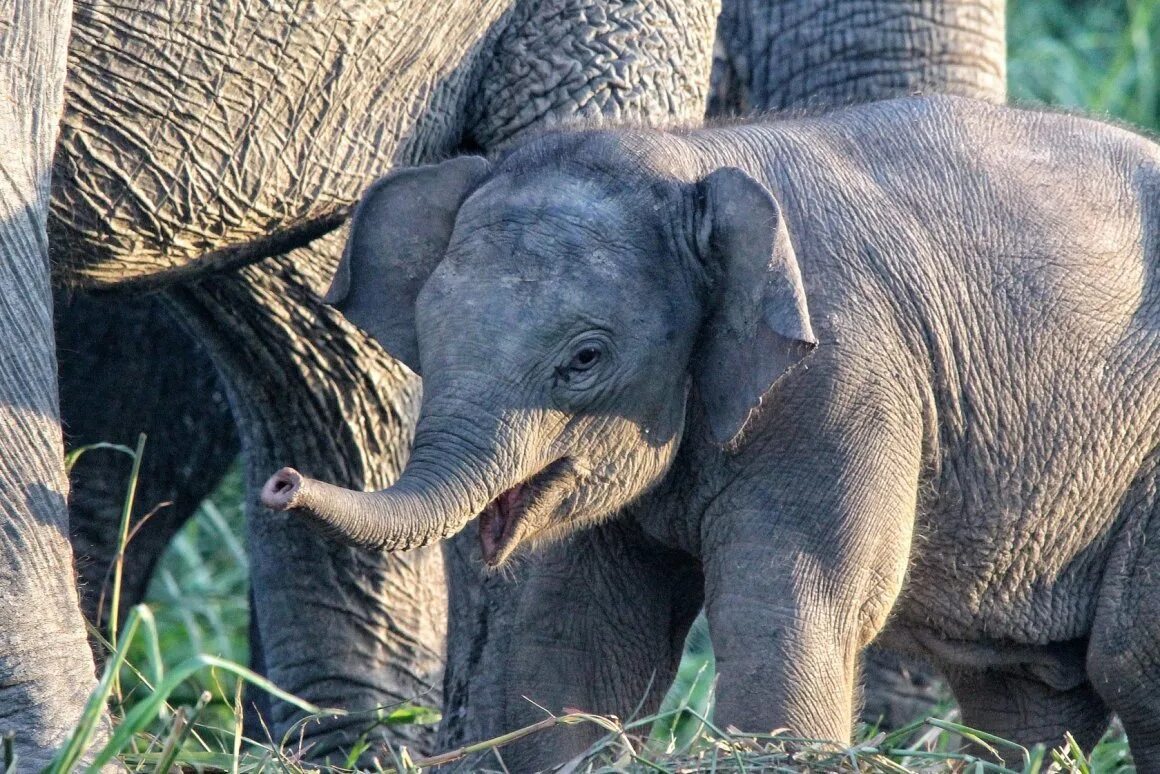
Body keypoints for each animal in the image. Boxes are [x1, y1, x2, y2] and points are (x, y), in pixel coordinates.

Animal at [263, 96, 1160, 770]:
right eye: (426, 334)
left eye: (584, 358)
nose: (281, 482)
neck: (686, 158)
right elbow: (583, 638)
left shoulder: (840, 385)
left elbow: (795, 609)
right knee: (1026, 690)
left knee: (1128, 660)